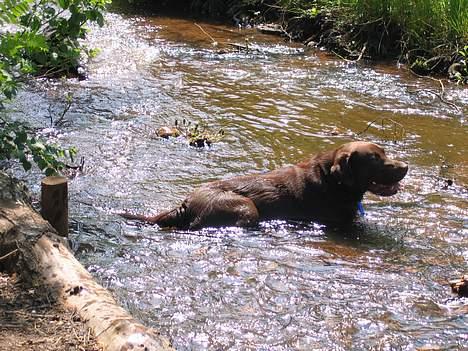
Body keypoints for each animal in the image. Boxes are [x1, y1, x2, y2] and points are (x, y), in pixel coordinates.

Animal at [122, 142, 408, 230]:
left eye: (384, 152)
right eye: (375, 160)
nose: (406, 166)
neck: (332, 181)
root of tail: (186, 203)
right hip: (246, 207)